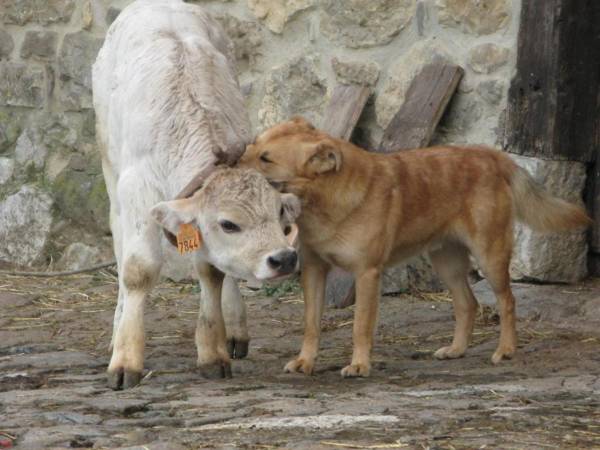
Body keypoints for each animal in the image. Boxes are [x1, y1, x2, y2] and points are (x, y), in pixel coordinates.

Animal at [239, 118, 592, 378]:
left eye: (266, 158)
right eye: (251, 146)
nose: (229, 162)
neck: (325, 198)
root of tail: (492, 156)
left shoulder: (367, 274)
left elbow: (360, 325)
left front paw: (359, 365)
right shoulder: (313, 270)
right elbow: (311, 324)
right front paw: (306, 361)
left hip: (489, 256)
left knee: (507, 301)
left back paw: (505, 350)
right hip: (446, 261)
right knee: (468, 304)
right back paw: (456, 350)